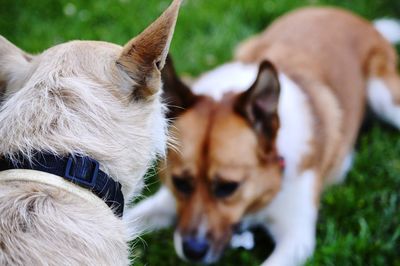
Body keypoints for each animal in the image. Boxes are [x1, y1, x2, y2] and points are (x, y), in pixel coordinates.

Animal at [127, 7, 400, 266]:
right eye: (180, 182)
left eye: (228, 187)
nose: (193, 251)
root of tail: (356, 19)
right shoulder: (167, 200)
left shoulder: (296, 238)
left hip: (384, 97)